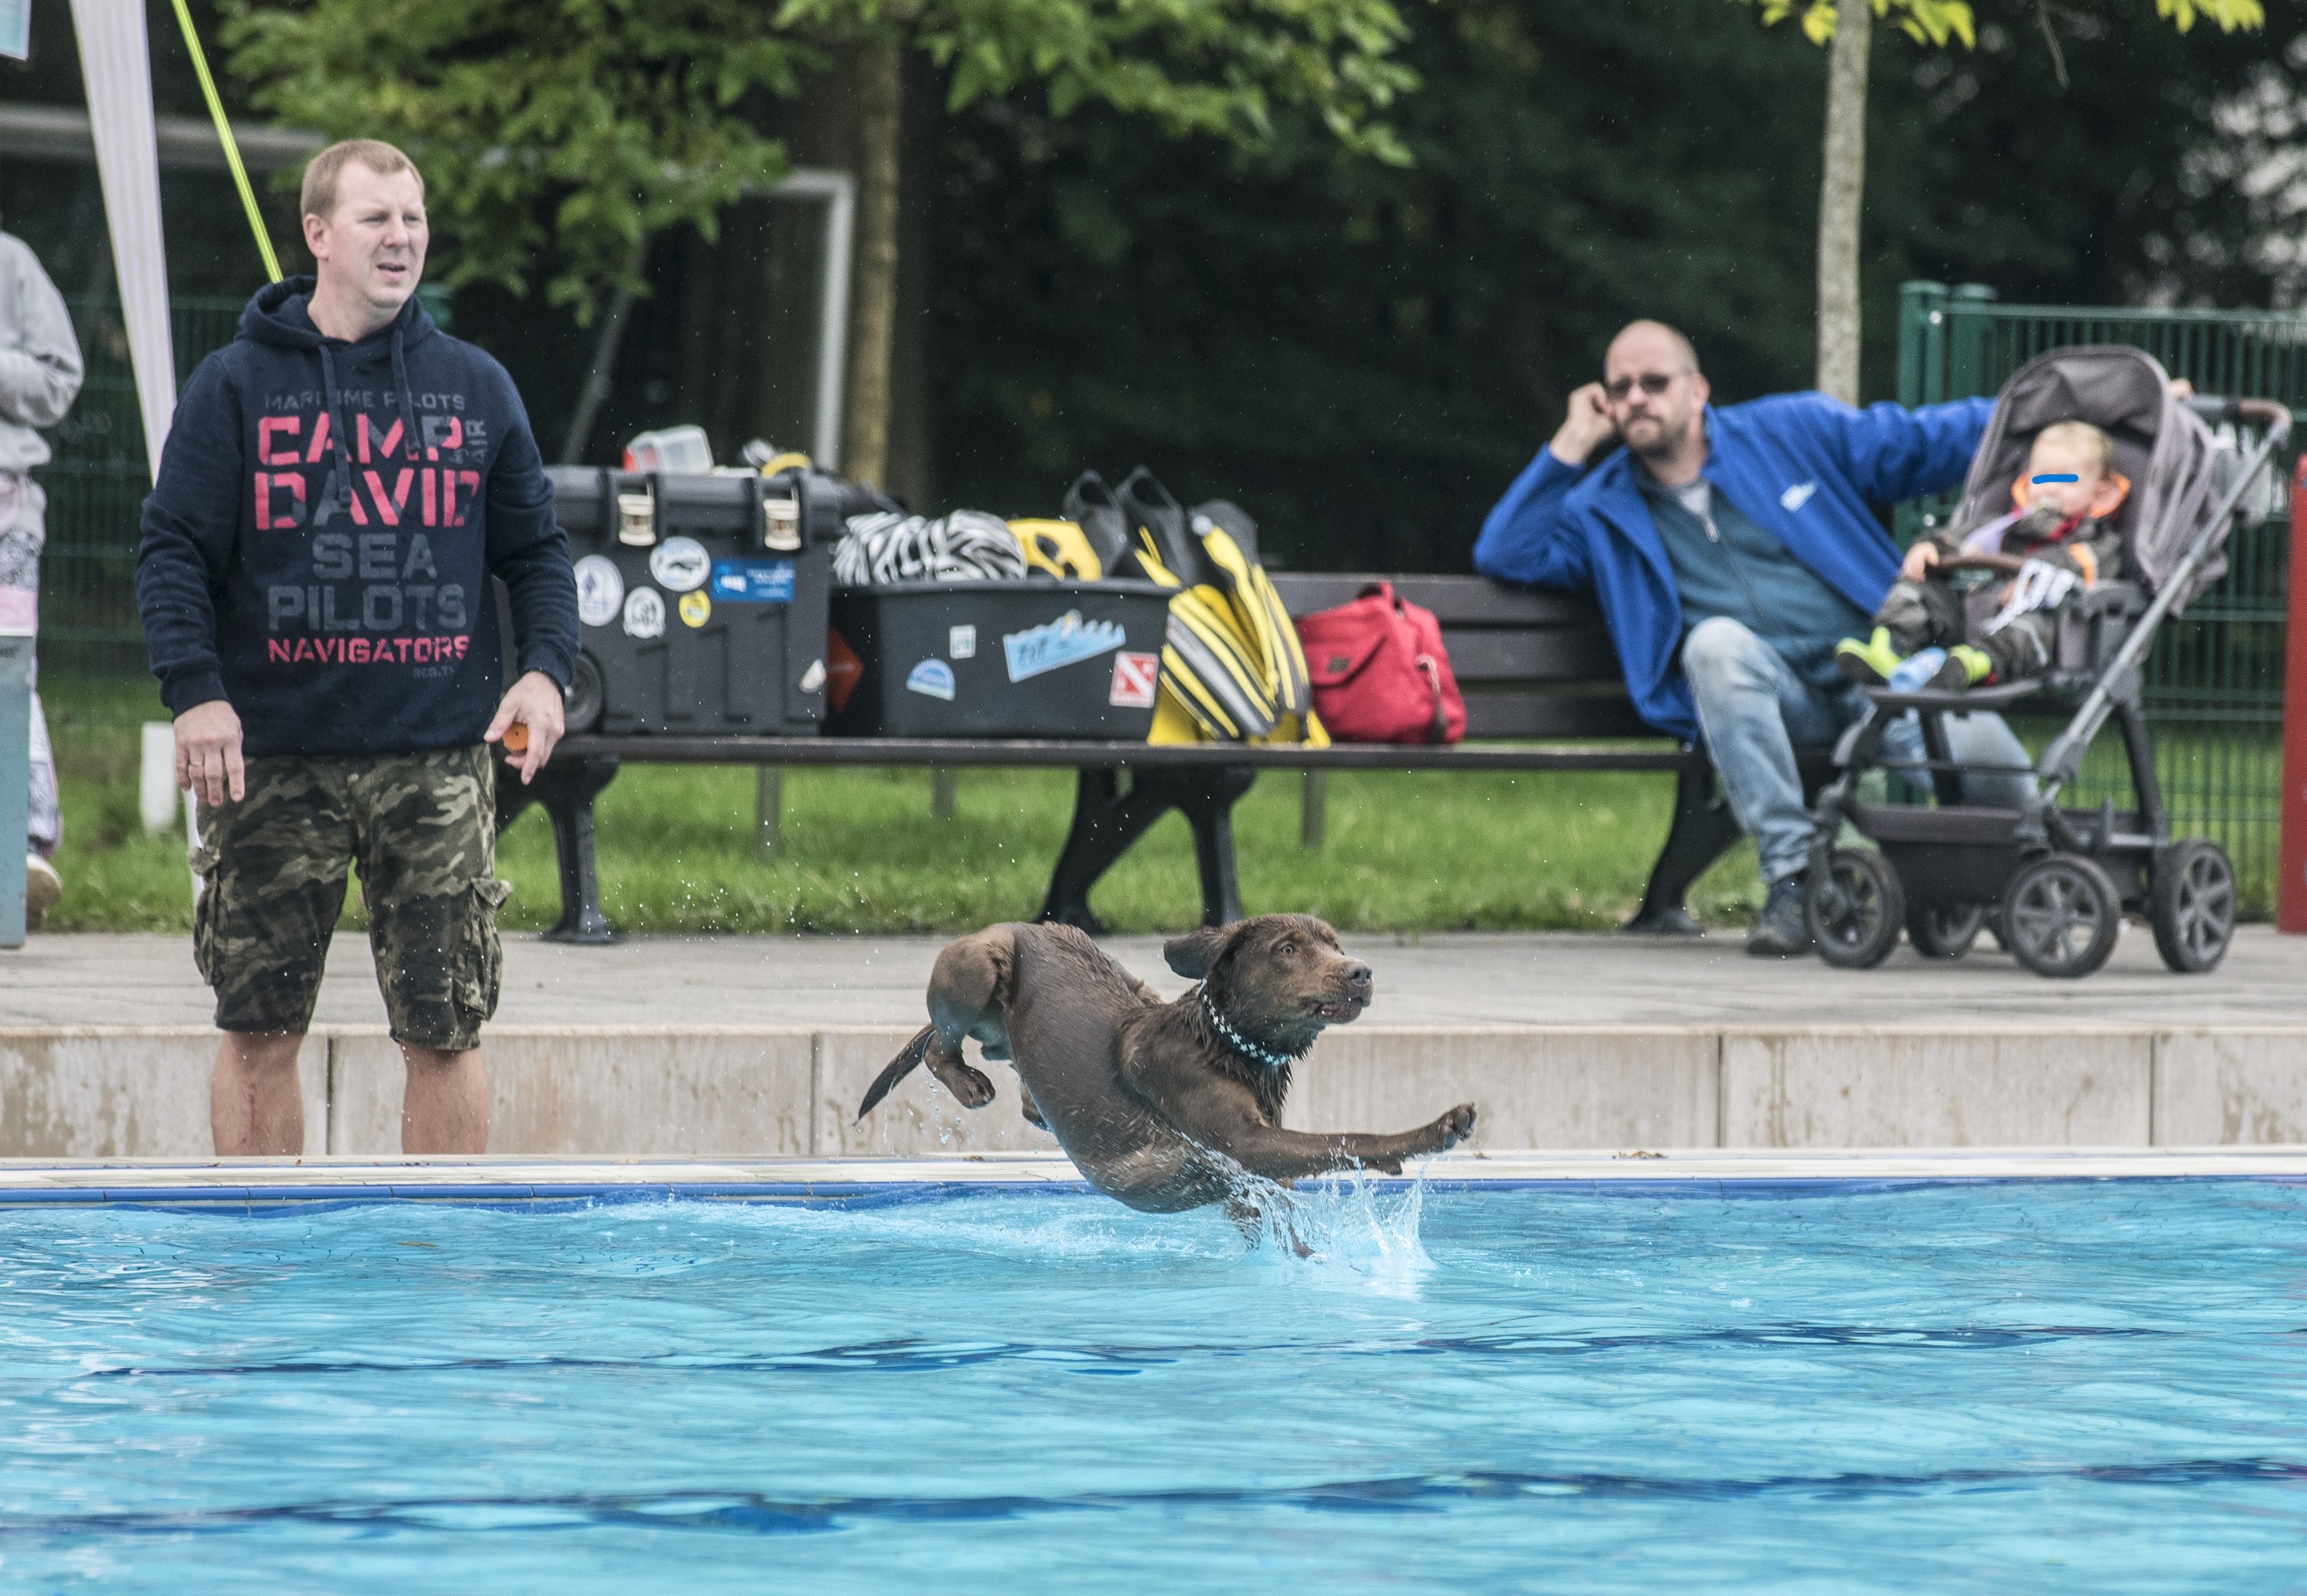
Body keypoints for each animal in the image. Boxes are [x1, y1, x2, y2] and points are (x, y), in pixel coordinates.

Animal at [853, 918, 1476, 1217]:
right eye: (1287, 948)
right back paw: (968, 1082)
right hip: (979, 960)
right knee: (941, 1046)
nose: (1361, 972)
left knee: (1020, 1083)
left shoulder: (1254, 1163)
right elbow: (1349, 1137)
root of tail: (1027, 925)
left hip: (1122, 985)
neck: (1231, 1046)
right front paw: (1435, 1131)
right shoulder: (1241, 1141)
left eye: (1336, 944)